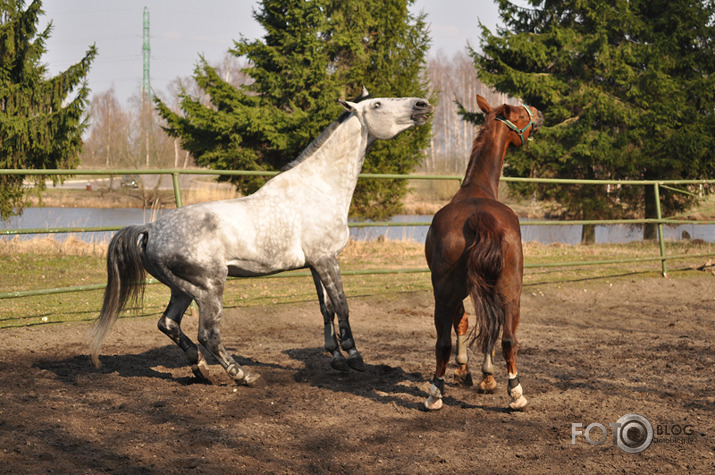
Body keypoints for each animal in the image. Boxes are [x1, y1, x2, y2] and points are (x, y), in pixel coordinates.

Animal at [91, 88, 434, 386]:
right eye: (377, 104)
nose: (422, 105)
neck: (319, 188)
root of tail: (149, 229)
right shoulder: (327, 259)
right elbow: (342, 305)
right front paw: (353, 356)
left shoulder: (315, 264)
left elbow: (326, 308)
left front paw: (335, 357)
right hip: (210, 288)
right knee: (208, 334)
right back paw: (242, 375)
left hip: (183, 290)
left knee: (169, 324)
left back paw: (201, 369)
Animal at [426, 95, 544, 410]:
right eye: (520, 112)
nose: (538, 112)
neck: (476, 189)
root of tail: (479, 218)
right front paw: (484, 376)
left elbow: (466, 322)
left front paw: (469, 372)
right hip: (509, 289)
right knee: (507, 337)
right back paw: (515, 393)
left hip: (448, 293)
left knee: (446, 341)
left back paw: (436, 392)